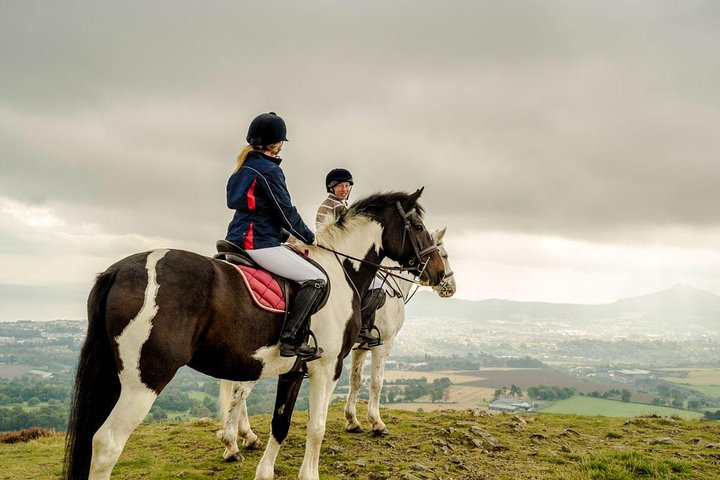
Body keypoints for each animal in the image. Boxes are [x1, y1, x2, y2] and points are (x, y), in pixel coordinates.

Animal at [217, 227, 458, 460]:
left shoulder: (360, 349)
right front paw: (377, 423)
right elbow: (376, 382)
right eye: (445, 255)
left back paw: (247, 436)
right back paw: (234, 443)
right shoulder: (384, 345)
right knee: (241, 390)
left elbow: (355, 381)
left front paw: (352, 420)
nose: (450, 286)